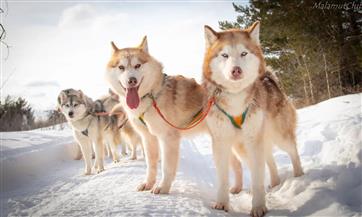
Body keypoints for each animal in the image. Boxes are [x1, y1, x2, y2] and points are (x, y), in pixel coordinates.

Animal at [104, 36, 208, 193]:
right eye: (121, 67)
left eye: (137, 65)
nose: (132, 80)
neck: (152, 95)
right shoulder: (148, 138)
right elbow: (151, 164)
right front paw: (148, 183)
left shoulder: (168, 138)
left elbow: (166, 167)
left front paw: (163, 187)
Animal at [204, 22, 302, 217]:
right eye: (225, 55)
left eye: (243, 53)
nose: (236, 70)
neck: (235, 98)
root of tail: (270, 79)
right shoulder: (221, 142)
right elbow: (223, 178)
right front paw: (222, 203)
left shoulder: (253, 140)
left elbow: (257, 178)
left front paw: (258, 207)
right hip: (242, 147)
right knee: (269, 161)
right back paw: (275, 183)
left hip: (279, 137)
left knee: (293, 152)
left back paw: (299, 176)